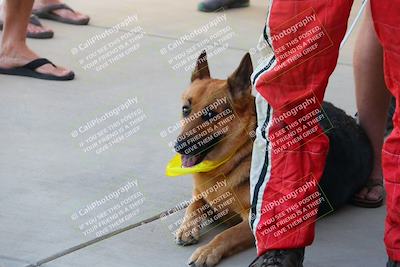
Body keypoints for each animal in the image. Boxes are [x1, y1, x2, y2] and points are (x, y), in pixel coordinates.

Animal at [173, 51, 374, 266]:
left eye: (210, 114)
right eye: (185, 109)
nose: (178, 147)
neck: (237, 155)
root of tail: (354, 122)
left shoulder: (258, 222)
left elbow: (227, 234)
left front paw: (207, 251)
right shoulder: (201, 193)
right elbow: (193, 205)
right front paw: (186, 228)